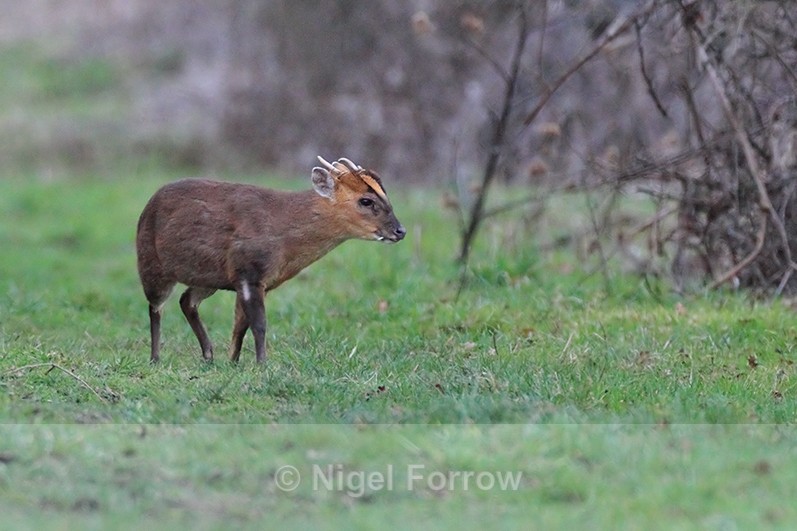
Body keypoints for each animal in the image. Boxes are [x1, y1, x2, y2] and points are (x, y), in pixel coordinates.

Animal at [135, 156, 406, 363]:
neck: (282, 232)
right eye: (366, 200)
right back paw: (155, 358)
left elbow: (241, 324)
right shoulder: (249, 271)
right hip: (151, 265)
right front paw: (262, 364)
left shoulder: (254, 280)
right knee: (156, 307)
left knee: (186, 301)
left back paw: (208, 356)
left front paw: (233, 362)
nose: (400, 231)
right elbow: (259, 324)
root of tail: (147, 206)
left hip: (206, 277)